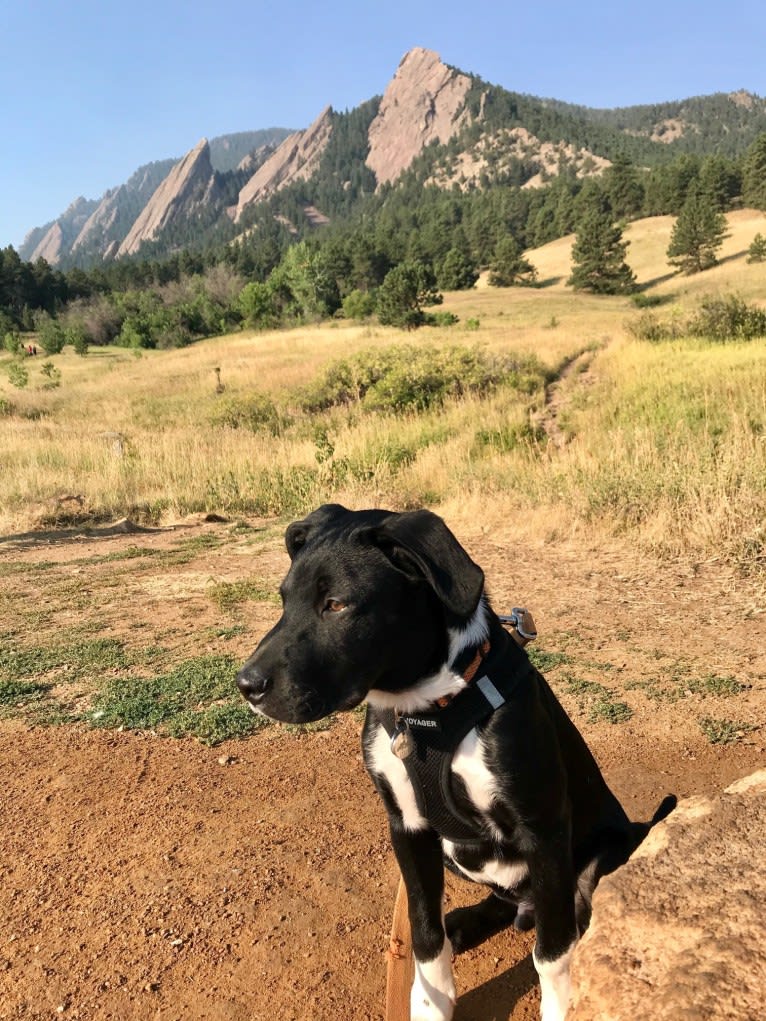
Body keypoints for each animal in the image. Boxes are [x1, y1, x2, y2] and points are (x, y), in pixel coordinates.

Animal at [236, 504, 674, 1021]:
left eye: (337, 605)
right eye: (284, 599)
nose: (247, 686)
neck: (428, 712)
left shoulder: (543, 829)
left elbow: (553, 950)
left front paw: (561, 1005)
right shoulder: (407, 826)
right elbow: (424, 932)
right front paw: (430, 1001)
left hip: (602, 855)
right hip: (454, 849)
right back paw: (465, 923)